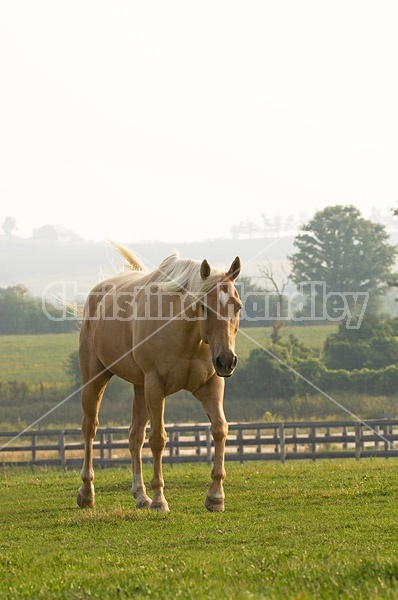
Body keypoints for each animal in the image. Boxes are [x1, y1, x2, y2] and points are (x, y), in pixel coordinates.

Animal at [76, 246, 241, 512]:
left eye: (237, 306)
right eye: (204, 307)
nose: (226, 360)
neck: (186, 334)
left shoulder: (211, 385)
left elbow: (220, 429)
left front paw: (216, 496)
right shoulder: (155, 386)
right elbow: (158, 439)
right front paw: (159, 499)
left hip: (139, 388)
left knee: (134, 437)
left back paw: (140, 495)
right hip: (95, 379)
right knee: (90, 429)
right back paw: (87, 493)